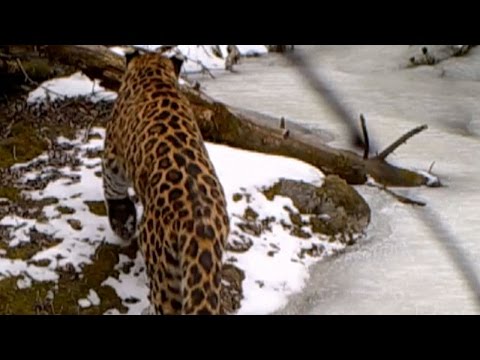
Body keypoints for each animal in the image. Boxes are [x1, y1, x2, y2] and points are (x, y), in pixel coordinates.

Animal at [101, 50, 231, 316]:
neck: (153, 72)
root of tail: (199, 225)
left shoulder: (113, 157)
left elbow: (113, 189)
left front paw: (122, 225)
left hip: (164, 270)